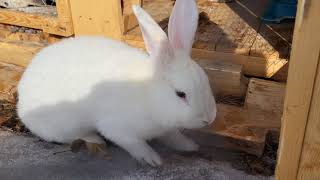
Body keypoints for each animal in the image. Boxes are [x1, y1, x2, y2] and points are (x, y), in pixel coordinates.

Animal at [17, 0, 218, 166]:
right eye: (180, 94)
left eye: (206, 82)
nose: (208, 119)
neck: (148, 95)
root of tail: (21, 99)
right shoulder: (117, 128)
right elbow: (133, 143)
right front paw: (151, 158)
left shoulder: (166, 130)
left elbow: (174, 137)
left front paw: (190, 146)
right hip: (65, 124)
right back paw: (95, 139)